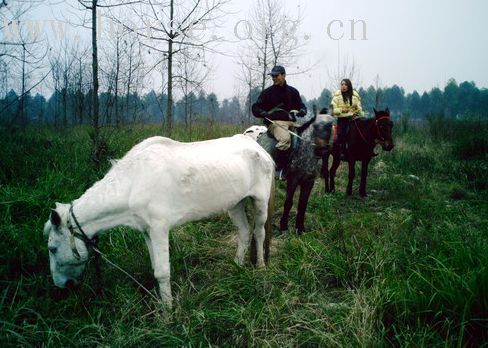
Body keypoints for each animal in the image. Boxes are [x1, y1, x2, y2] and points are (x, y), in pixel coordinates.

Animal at [44, 135, 274, 306]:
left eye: (52, 249)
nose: (60, 285)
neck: (133, 183)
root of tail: (258, 148)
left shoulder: (159, 229)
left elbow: (163, 273)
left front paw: (168, 316)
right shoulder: (147, 232)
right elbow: (155, 269)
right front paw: (161, 307)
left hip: (260, 201)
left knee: (258, 232)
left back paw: (261, 267)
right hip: (236, 203)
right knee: (244, 231)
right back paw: (237, 266)